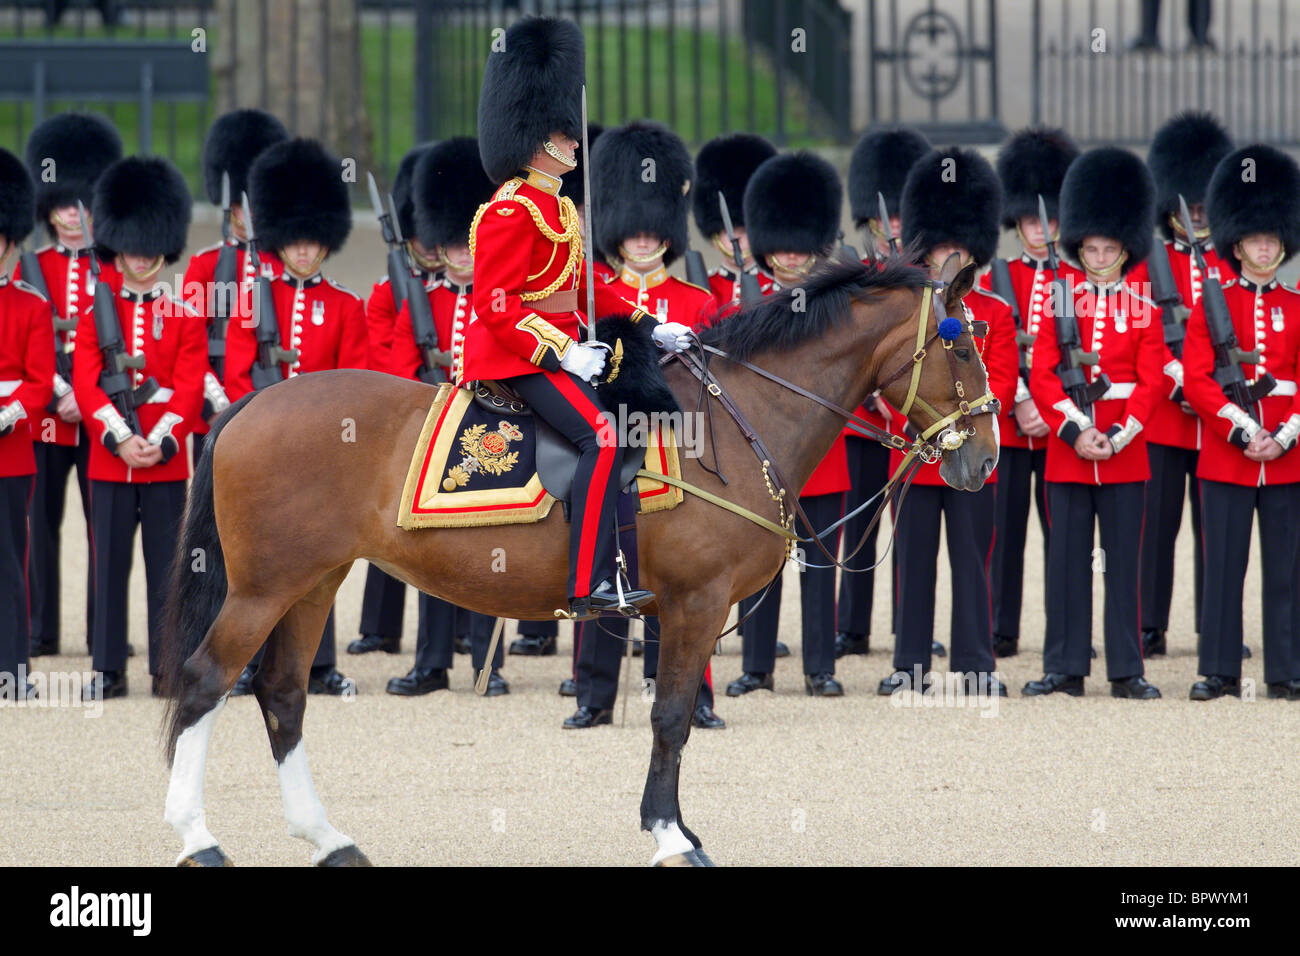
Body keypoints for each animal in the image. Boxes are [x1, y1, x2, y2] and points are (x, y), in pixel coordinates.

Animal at [157, 254, 998, 868]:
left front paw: (677, 827)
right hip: (264, 588)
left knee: (282, 693)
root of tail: (255, 401)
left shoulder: (685, 608)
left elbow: (676, 717)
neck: (733, 426)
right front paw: (670, 837)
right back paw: (198, 838)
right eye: (961, 342)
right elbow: (669, 717)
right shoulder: (694, 603)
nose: (984, 459)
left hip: (312, 582)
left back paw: (327, 839)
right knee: (206, 680)